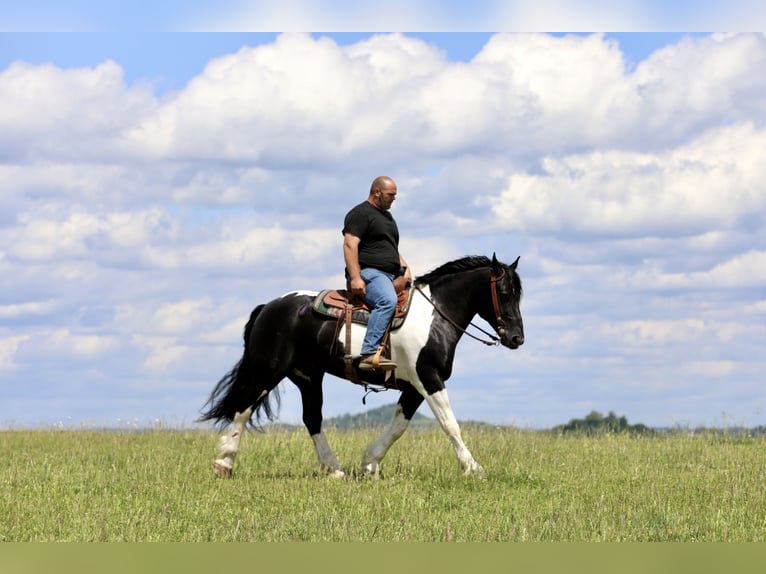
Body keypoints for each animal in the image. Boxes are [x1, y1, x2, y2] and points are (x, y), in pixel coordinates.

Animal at [199, 254, 524, 478]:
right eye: (504, 293)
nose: (516, 338)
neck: (433, 316)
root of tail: (268, 307)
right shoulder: (428, 378)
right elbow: (450, 424)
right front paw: (473, 469)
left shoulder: (414, 386)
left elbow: (398, 426)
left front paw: (370, 463)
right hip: (268, 370)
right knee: (244, 408)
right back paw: (224, 463)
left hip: (308, 377)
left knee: (312, 418)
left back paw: (334, 469)